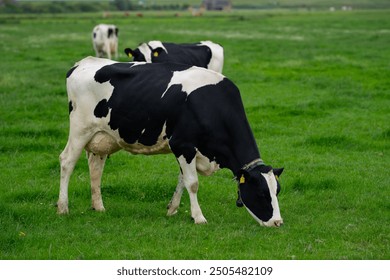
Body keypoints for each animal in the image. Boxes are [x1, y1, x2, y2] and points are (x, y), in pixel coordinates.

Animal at [58, 56, 284, 228]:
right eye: (261, 194)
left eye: (277, 191)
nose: (278, 222)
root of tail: (84, 62)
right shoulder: (183, 145)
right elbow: (192, 183)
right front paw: (199, 217)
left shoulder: (189, 150)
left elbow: (182, 180)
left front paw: (173, 209)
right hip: (80, 130)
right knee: (67, 161)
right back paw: (63, 207)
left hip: (101, 138)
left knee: (96, 167)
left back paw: (98, 206)